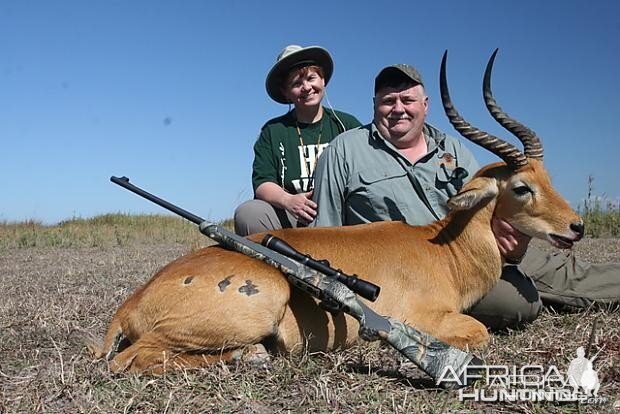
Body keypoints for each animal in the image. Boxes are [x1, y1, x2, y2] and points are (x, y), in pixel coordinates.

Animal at [89, 50, 584, 374]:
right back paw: (253, 355)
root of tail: (133, 301)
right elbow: (479, 332)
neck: (442, 249)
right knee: (130, 360)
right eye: (521, 187)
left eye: (548, 177)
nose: (576, 226)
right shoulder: (426, 320)